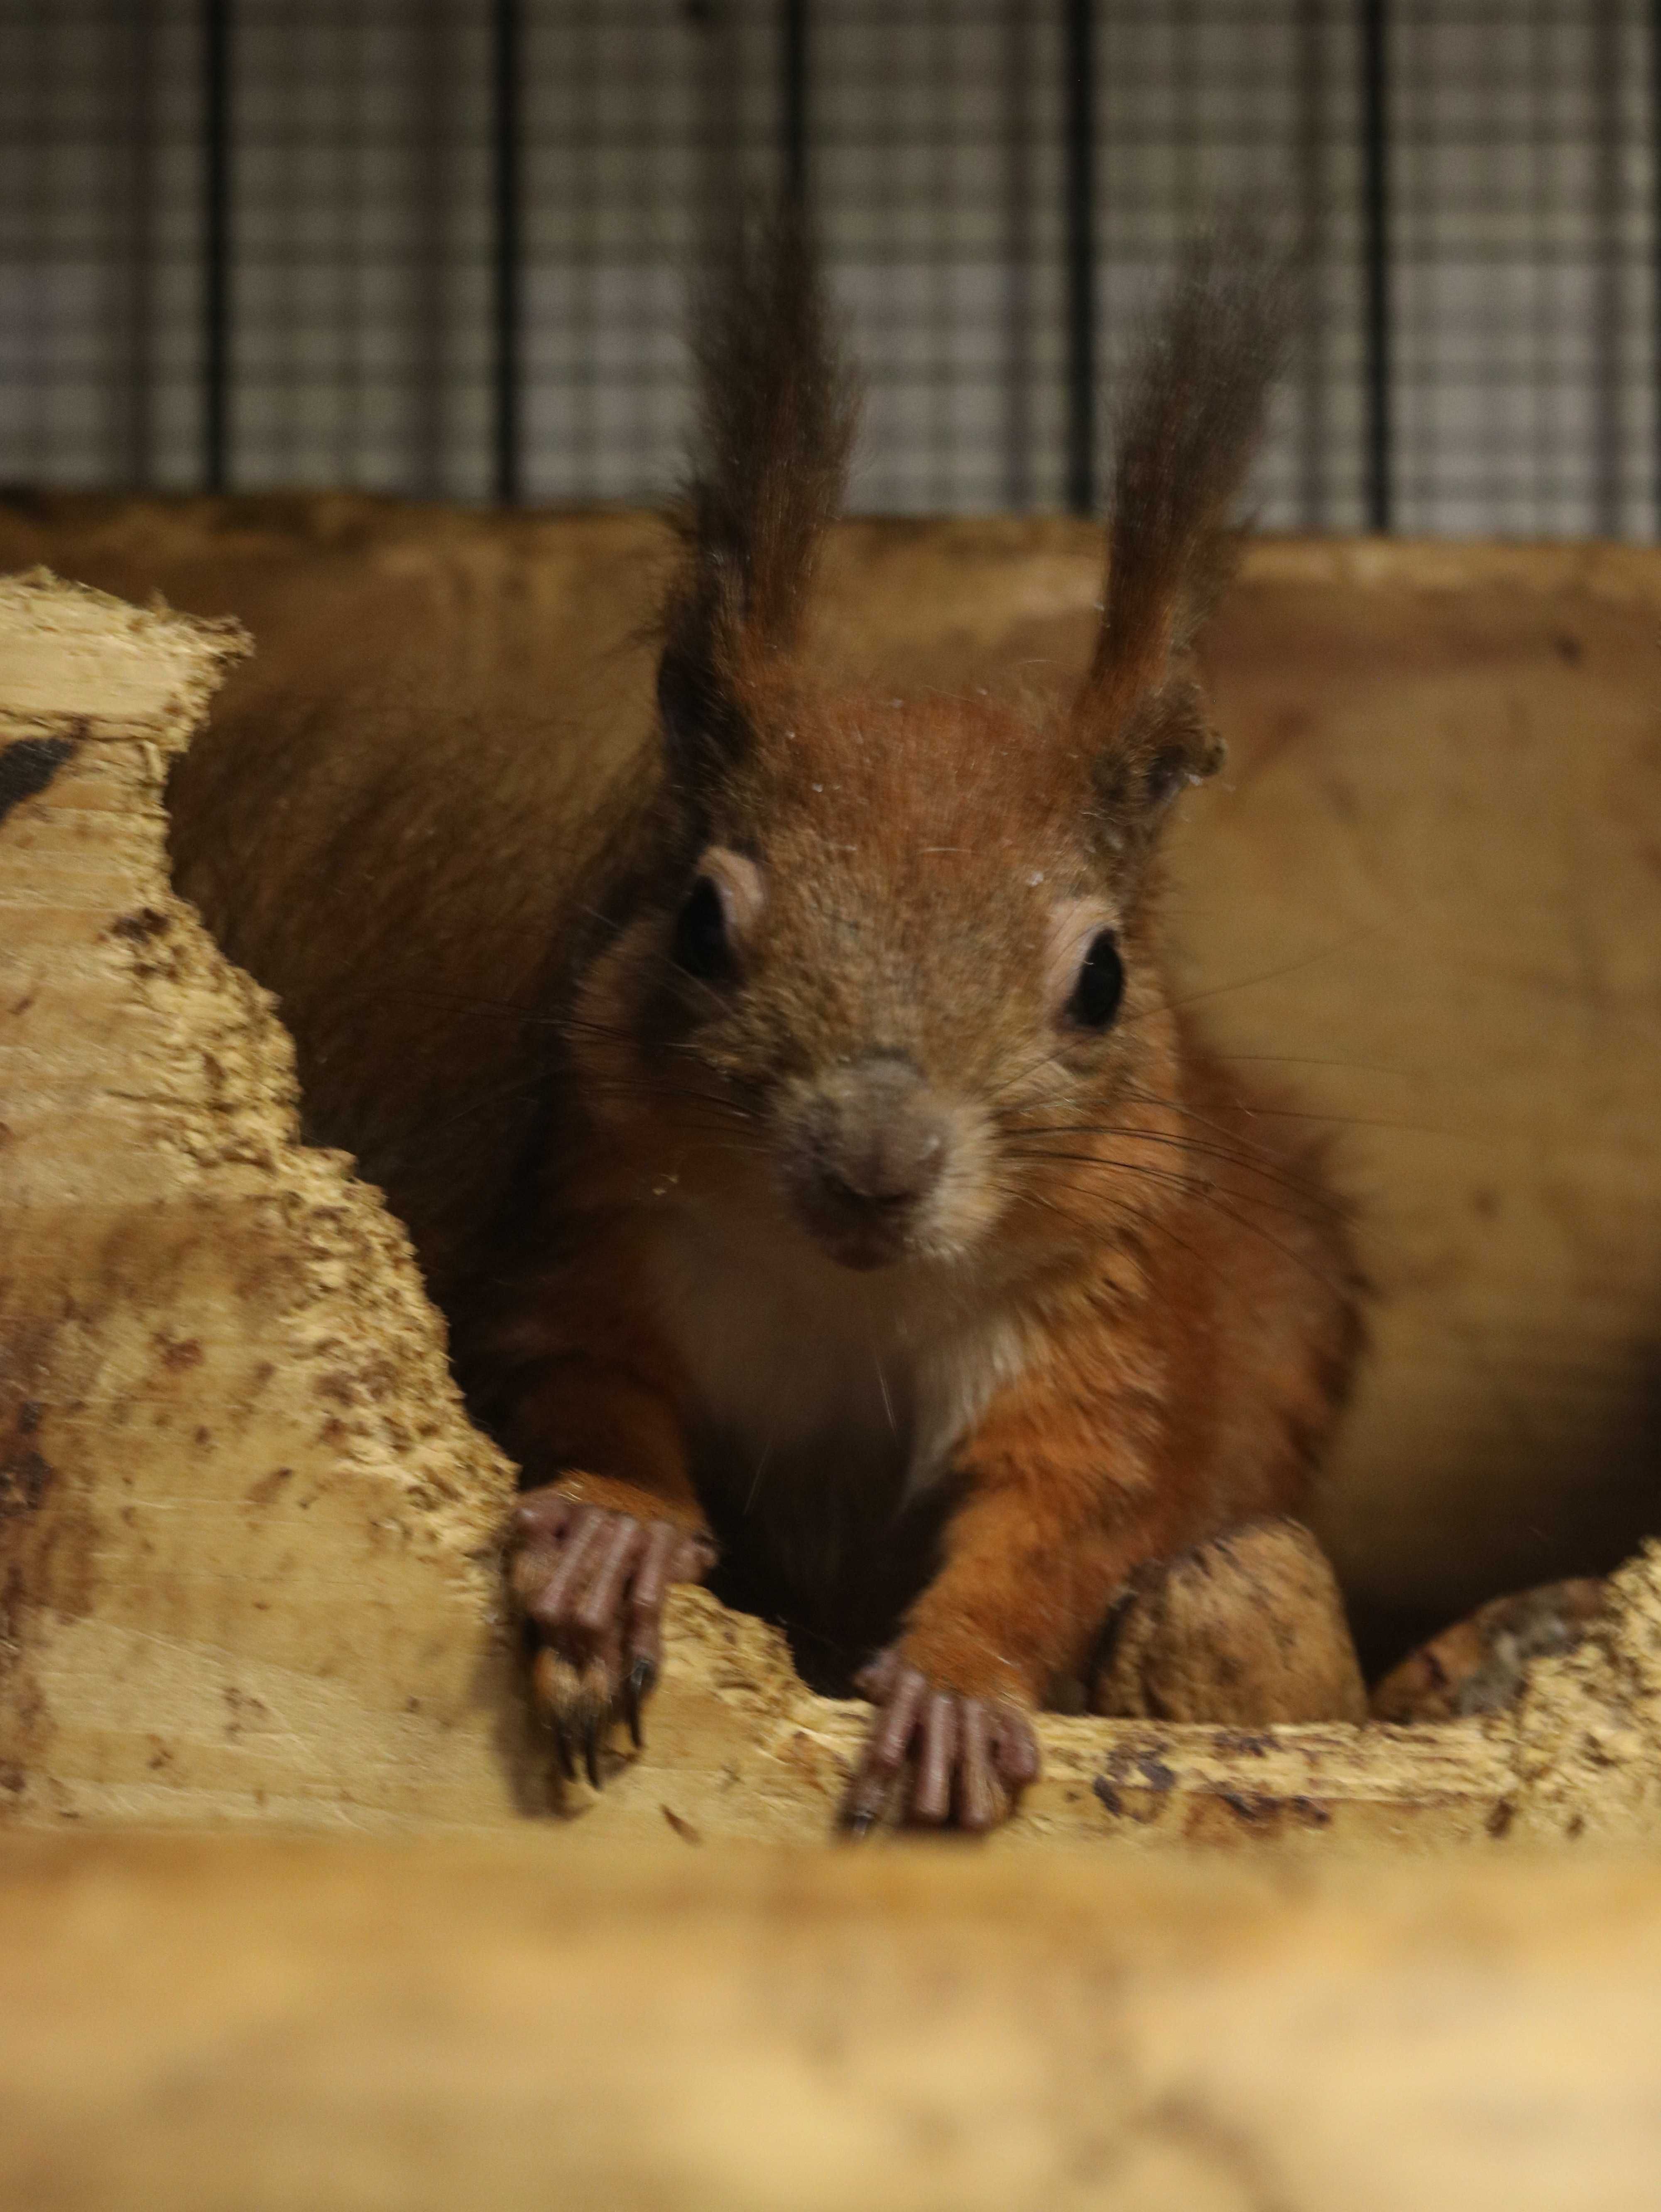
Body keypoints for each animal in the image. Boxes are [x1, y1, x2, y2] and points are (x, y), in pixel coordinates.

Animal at [480, 211, 1362, 1831]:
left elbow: (1065, 1514)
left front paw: (953, 1690)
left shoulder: (1106, 1327)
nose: (875, 1165)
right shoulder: (594, 1239)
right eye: (698, 925)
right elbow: (583, 1388)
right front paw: (617, 1537)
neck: (856, 1297)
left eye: (1102, 978)